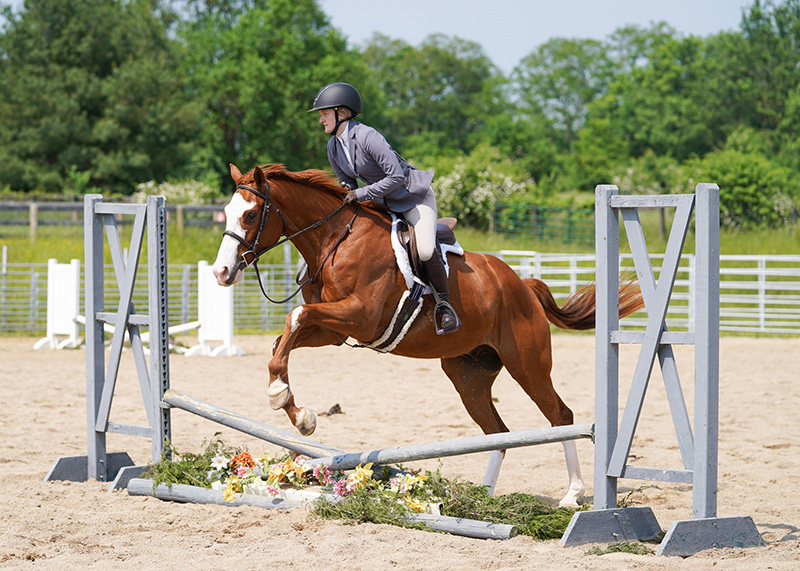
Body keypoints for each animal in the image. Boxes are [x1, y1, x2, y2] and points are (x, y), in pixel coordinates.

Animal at [212, 163, 644, 508]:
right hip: (467, 376)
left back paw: (571, 494)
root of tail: (521, 284)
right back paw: (481, 498)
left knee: (560, 417)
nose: (221, 272)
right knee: (499, 433)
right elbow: (284, 339)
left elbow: (295, 316)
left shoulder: (359, 316)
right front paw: (295, 410)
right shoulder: (333, 330)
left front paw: (286, 402)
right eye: (227, 213)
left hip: (527, 364)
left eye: (250, 214)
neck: (335, 238)